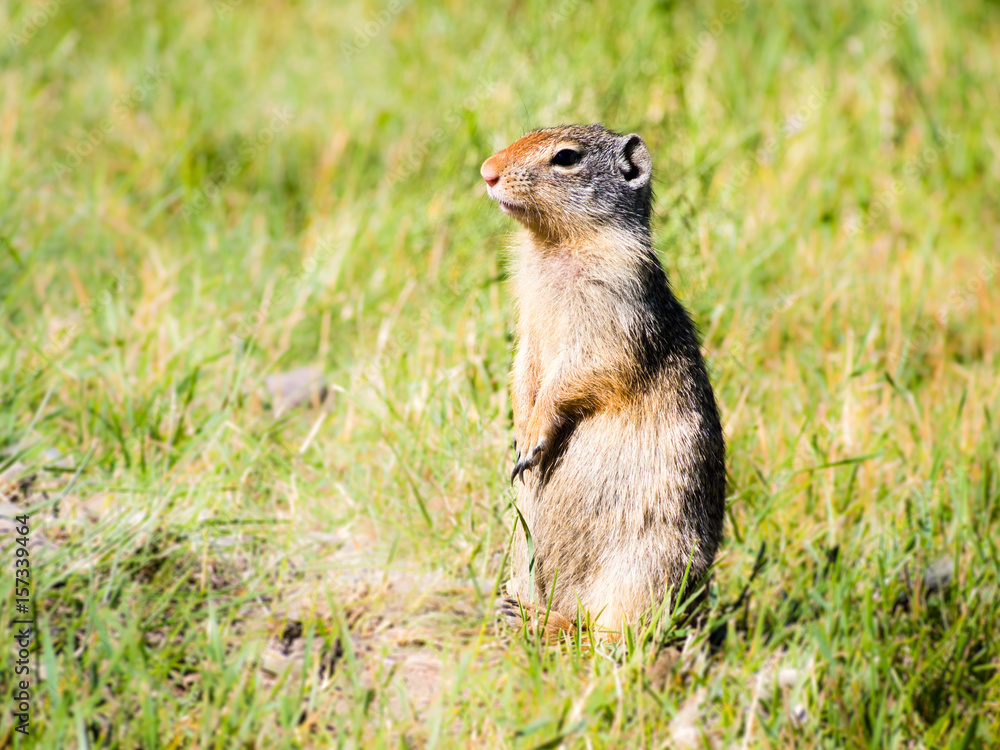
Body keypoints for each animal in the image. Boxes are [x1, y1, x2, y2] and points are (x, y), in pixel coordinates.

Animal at [480, 124, 726, 640]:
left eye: (566, 158)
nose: (487, 171)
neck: (555, 248)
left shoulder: (614, 312)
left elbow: (580, 375)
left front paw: (531, 439)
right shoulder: (529, 327)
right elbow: (522, 369)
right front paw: (518, 430)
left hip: (643, 571)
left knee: (610, 637)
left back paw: (542, 622)